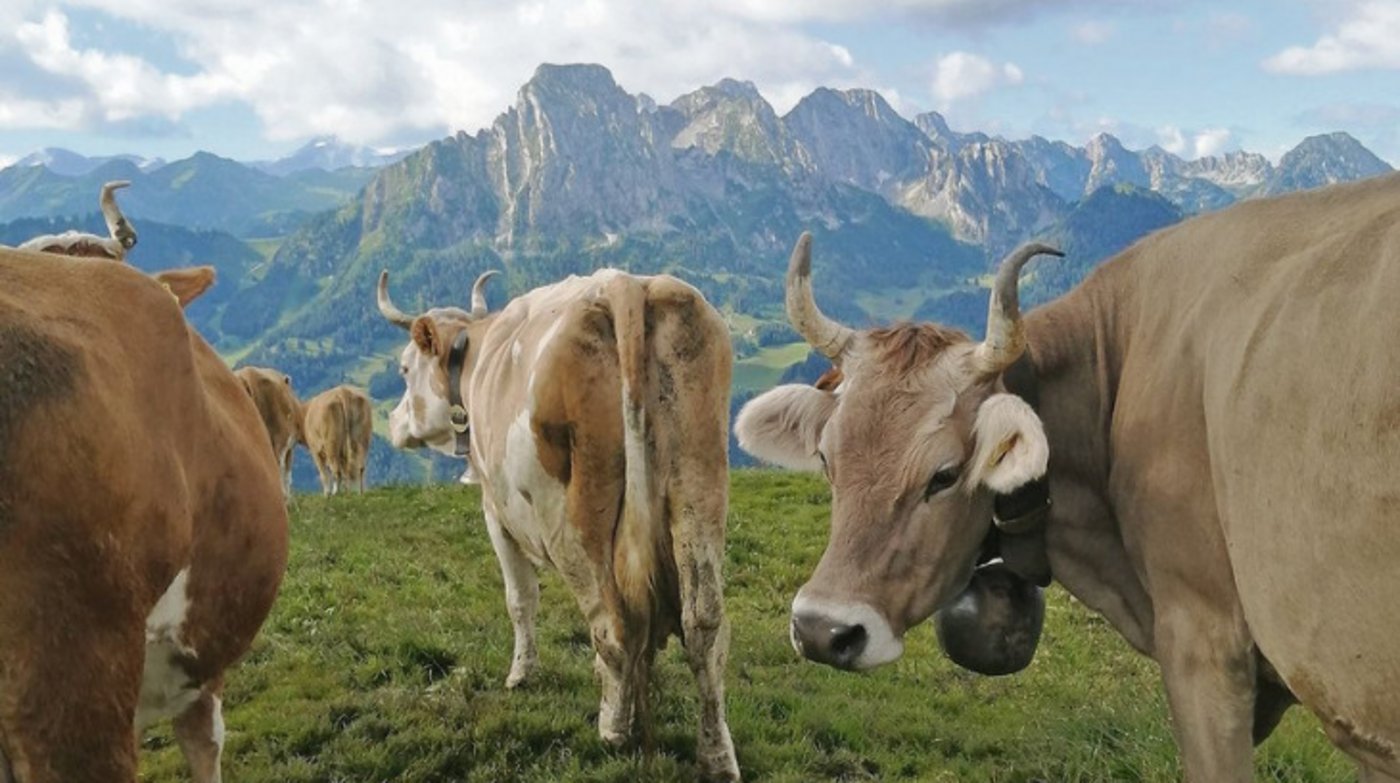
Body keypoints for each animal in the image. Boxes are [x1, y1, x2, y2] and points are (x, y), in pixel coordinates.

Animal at [377, 267, 741, 781]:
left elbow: (520, 599)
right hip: (699, 488)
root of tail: (626, 286)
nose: (391, 422)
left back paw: (613, 727)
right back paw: (716, 754)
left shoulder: (495, 511)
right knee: (703, 625)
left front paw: (520, 673)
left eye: (405, 369)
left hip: (574, 518)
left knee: (613, 625)